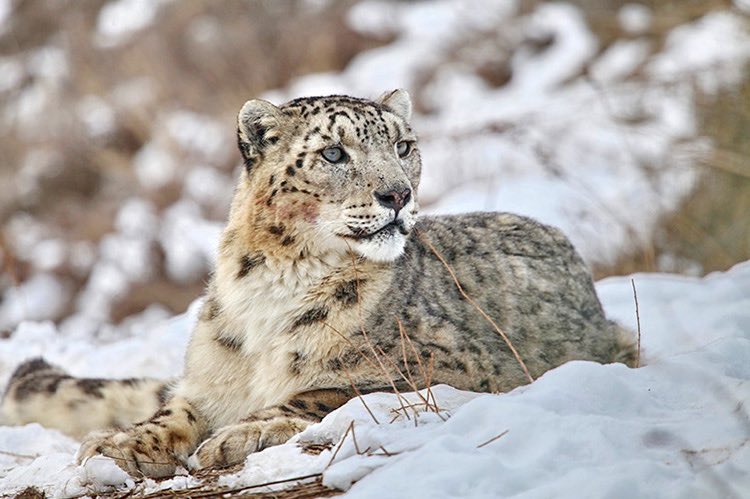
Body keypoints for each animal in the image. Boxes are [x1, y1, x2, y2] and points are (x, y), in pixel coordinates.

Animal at [1, 90, 636, 478]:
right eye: (333, 152)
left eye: (404, 146)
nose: (398, 193)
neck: (274, 287)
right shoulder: (204, 381)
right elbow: (170, 412)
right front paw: (115, 445)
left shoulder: (454, 366)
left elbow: (324, 390)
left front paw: (236, 435)